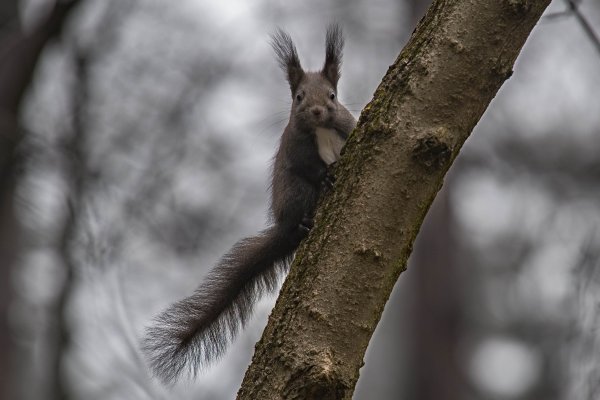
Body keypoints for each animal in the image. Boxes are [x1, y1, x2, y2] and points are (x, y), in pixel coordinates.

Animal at [141, 24, 356, 384]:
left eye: (332, 96)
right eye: (298, 97)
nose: (315, 111)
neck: (320, 129)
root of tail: (284, 229)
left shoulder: (346, 128)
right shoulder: (296, 148)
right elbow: (306, 167)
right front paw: (326, 175)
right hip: (296, 194)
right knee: (301, 206)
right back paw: (305, 221)